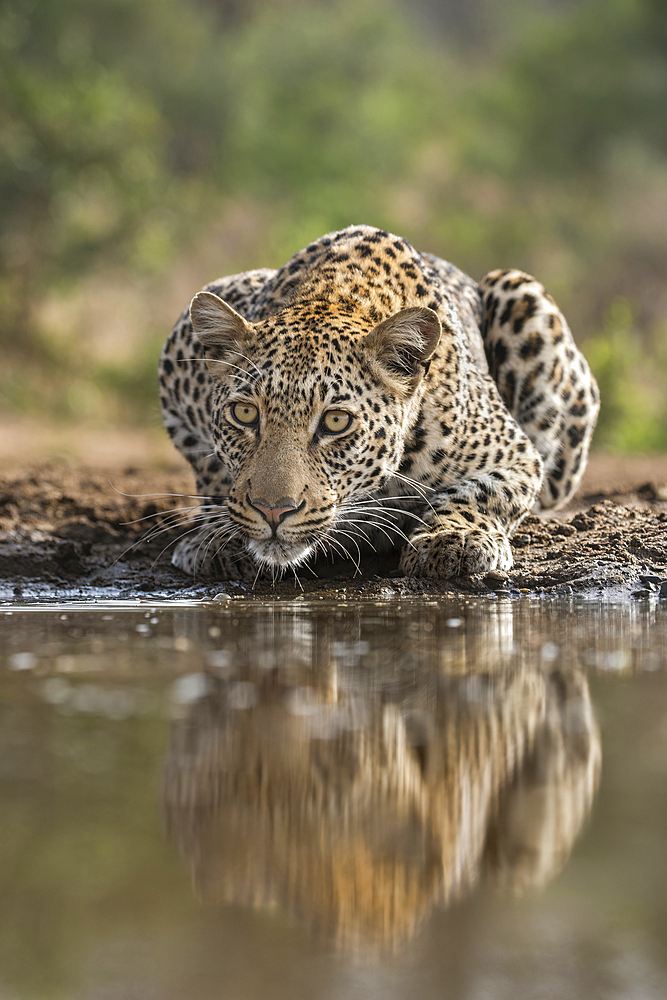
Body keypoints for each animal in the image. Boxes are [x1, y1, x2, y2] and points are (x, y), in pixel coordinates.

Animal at [158, 225, 600, 580]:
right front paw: (220, 538)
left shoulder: (515, 452)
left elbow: (483, 492)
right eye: (245, 413)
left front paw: (454, 537)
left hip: (521, 292)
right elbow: (212, 470)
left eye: (336, 422)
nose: (273, 511)